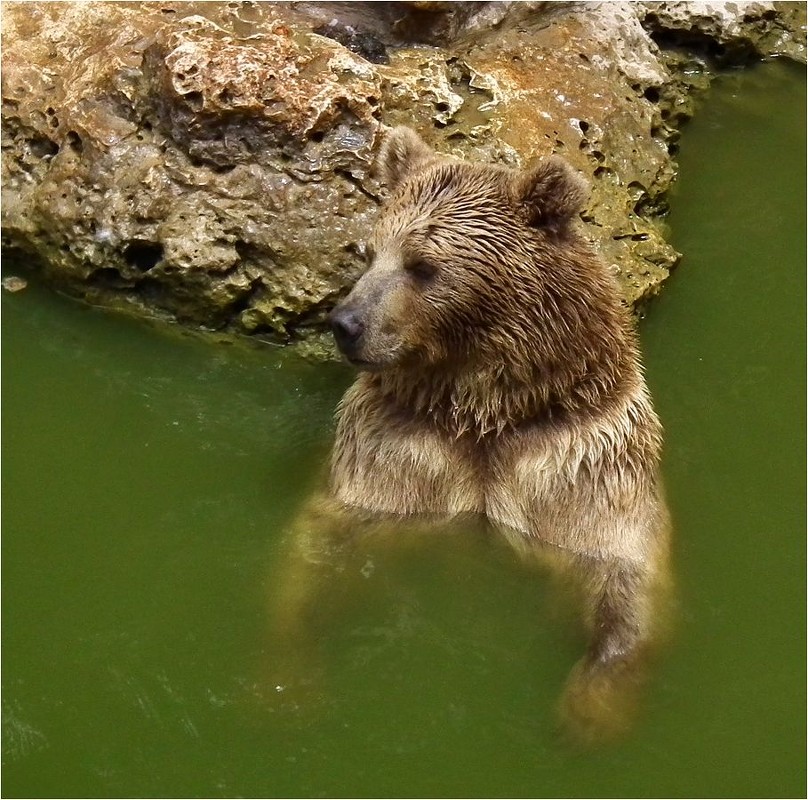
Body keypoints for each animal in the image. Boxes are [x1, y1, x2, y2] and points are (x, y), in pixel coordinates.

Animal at [272, 126, 668, 744]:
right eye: (371, 251)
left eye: (421, 265)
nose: (345, 323)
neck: (482, 413)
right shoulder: (396, 452)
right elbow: (317, 549)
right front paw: (291, 676)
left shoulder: (574, 465)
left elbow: (623, 575)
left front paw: (588, 709)